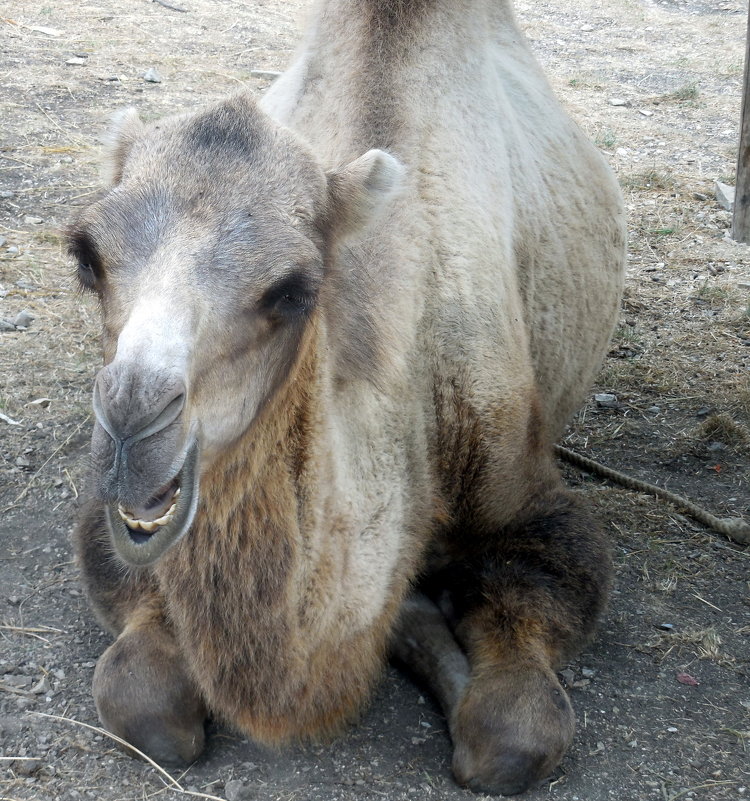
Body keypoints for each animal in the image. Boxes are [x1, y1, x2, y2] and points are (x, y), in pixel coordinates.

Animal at [69, 0, 624, 792]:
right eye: (87, 257)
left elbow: (512, 734)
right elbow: (142, 702)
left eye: (293, 289)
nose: (131, 427)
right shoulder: (106, 529)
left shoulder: (528, 495)